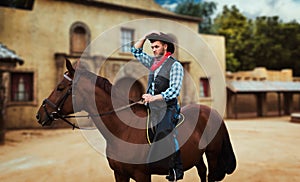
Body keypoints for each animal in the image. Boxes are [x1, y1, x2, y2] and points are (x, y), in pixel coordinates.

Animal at [35, 59, 237, 181]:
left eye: (60, 88)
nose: (40, 114)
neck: (123, 130)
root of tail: (211, 112)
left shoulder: (141, 175)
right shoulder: (119, 174)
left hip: (212, 155)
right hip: (196, 157)